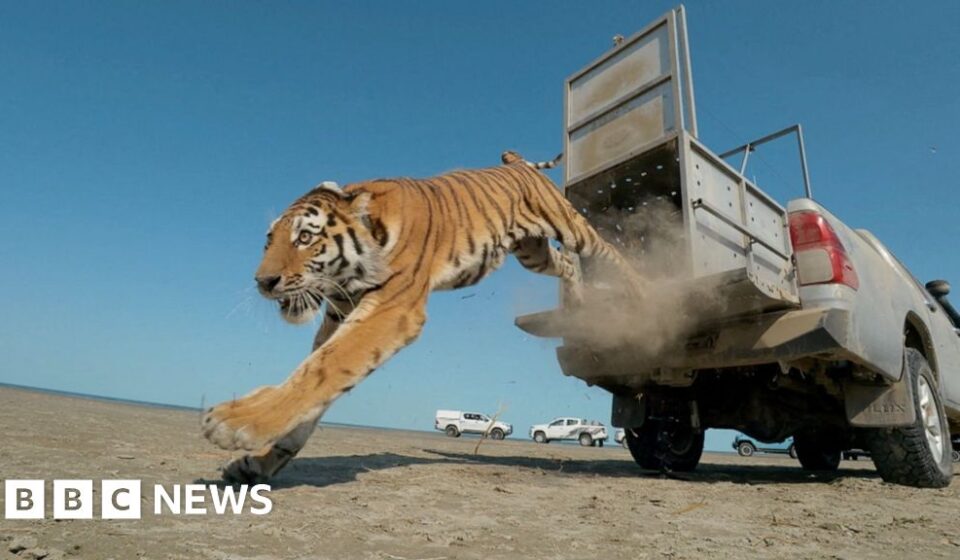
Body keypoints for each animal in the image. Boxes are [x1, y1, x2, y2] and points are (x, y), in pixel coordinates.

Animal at [202, 150, 648, 482]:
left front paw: (236, 421)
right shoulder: (338, 316)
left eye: (305, 238)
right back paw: (576, 306)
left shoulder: (392, 309)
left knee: (605, 251)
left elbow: (322, 368)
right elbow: (315, 379)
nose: (263, 282)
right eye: (269, 241)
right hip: (532, 251)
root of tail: (517, 163)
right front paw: (258, 462)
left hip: (566, 222)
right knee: (567, 264)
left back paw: (641, 293)